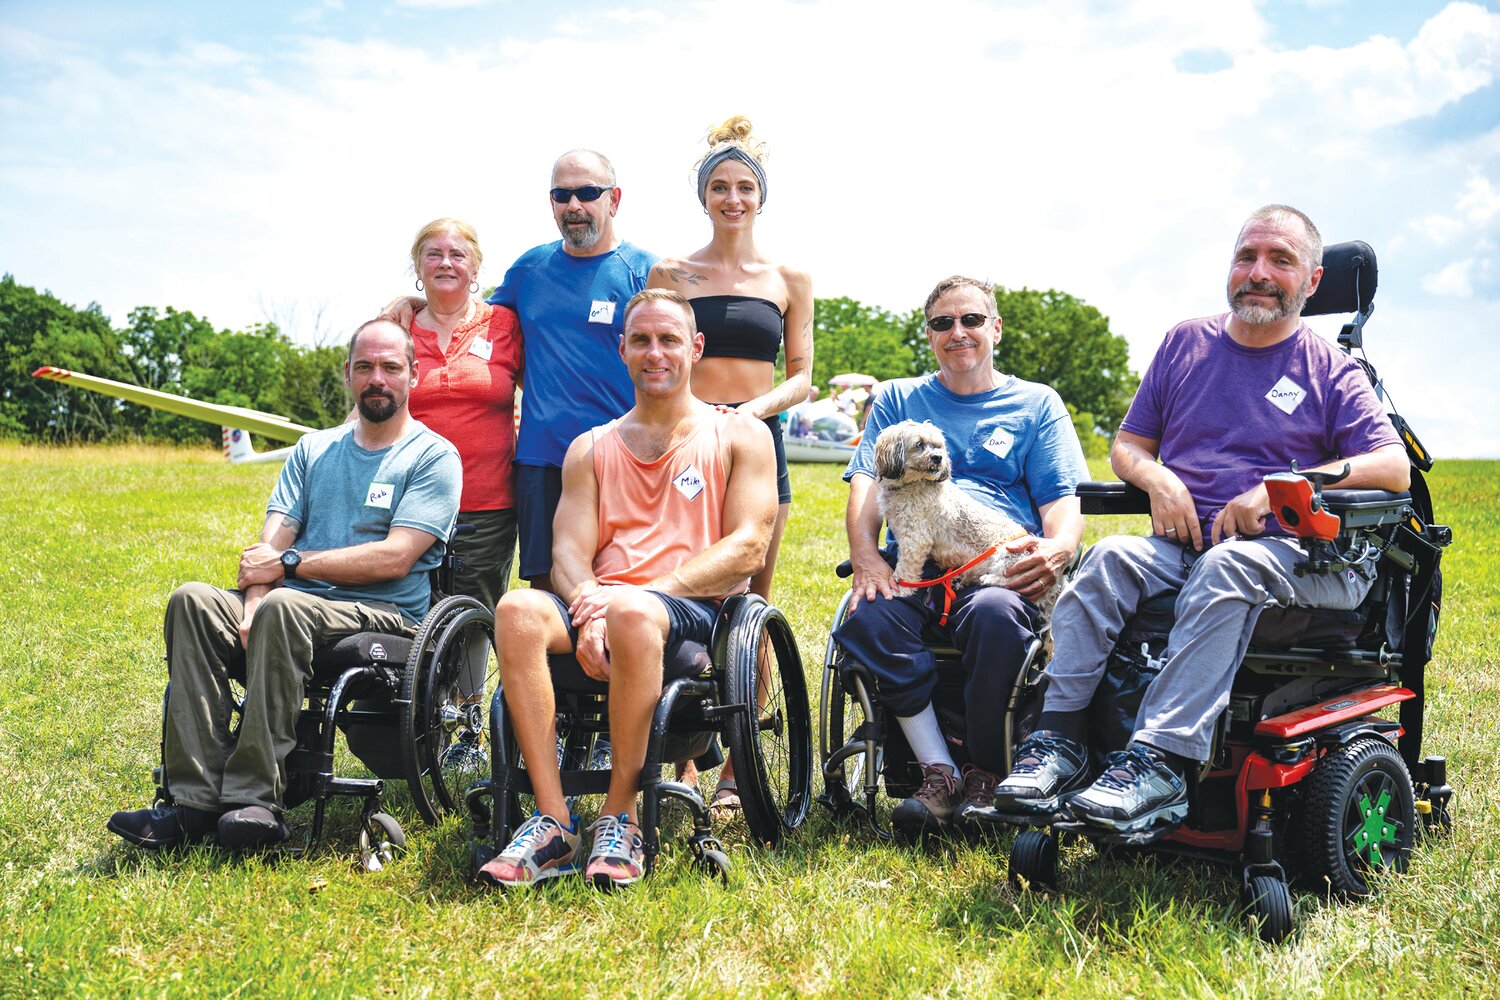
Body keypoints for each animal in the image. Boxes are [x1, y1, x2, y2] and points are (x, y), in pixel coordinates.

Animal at [876, 413, 1062, 617]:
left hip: (1006, 555)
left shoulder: (915, 539)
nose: (938, 458)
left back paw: (988, 579)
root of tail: (1056, 587)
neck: (911, 485)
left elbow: (906, 569)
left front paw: (901, 589)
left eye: (938, 446)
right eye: (919, 444)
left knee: (1009, 581)